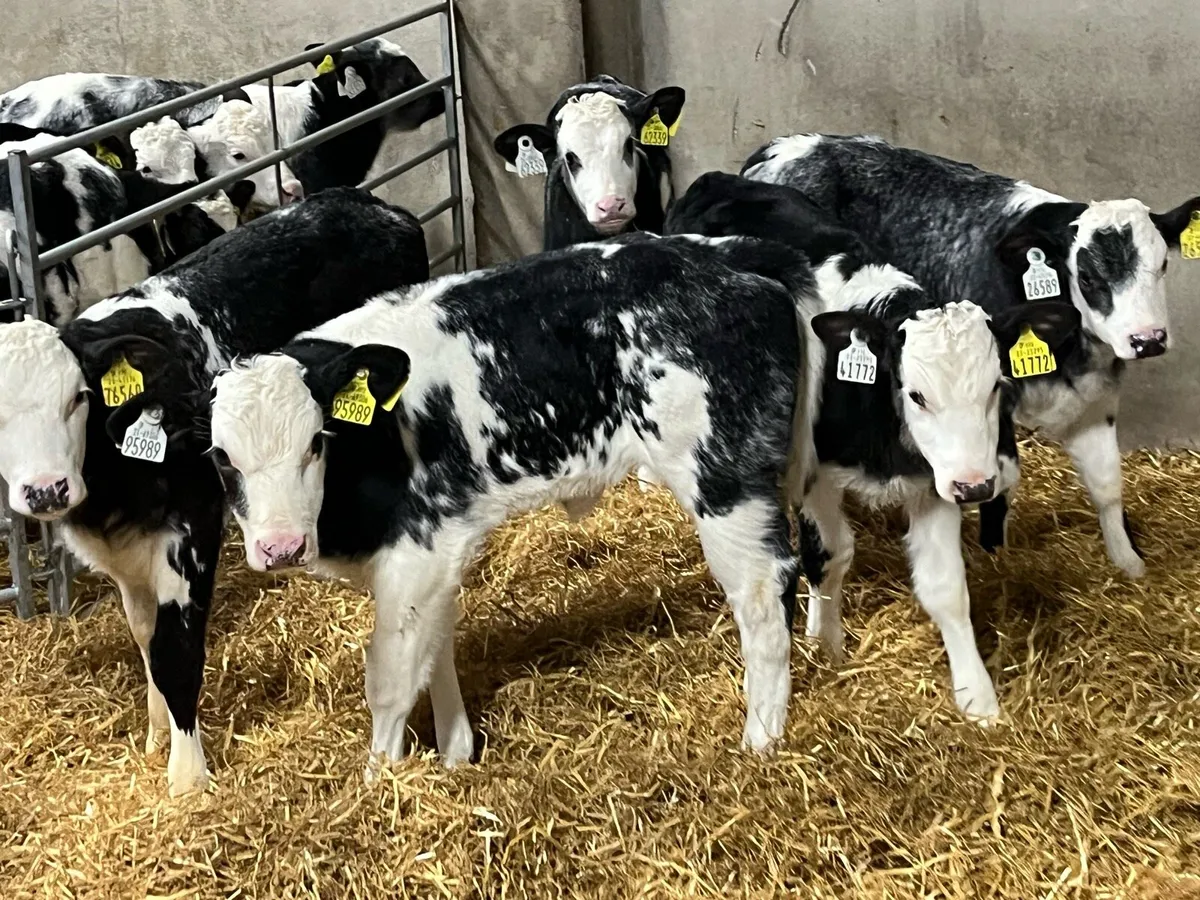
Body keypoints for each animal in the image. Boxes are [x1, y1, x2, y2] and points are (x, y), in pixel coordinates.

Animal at [0, 187, 429, 796]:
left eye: (79, 396)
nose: (45, 490)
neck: (113, 474)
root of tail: (368, 202)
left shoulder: (192, 531)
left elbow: (175, 653)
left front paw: (187, 779)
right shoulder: (125, 557)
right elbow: (145, 637)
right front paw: (156, 735)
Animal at [206, 232, 818, 779]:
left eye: (316, 441)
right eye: (220, 458)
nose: (281, 547)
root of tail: (731, 255)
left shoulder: (420, 548)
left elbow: (392, 680)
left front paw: (379, 784)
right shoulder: (432, 561)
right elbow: (435, 648)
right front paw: (456, 753)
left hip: (725, 480)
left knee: (762, 591)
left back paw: (760, 740)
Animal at [665, 171, 1080, 722]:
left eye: (996, 385)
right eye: (916, 394)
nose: (976, 486)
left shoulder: (933, 484)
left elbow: (947, 588)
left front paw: (977, 697)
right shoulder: (819, 477)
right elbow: (829, 555)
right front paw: (827, 647)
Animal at [743, 133, 1200, 579]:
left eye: (1163, 265)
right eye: (1087, 276)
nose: (1148, 339)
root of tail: (784, 145)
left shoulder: (1095, 399)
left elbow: (1107, 486)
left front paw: (1129, 563)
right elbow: (1003, 477)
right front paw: (994, 550)